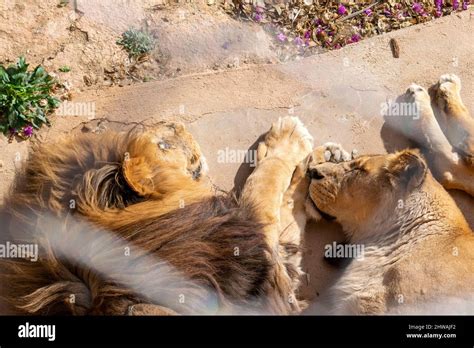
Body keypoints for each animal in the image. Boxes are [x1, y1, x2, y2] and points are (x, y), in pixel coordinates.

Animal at [0, 115, 340, 314]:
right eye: (163, 145)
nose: (175, 122)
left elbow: (287, 210)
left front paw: (322, 168)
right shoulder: (256, 266)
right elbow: (264, 186)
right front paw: (290, 138)